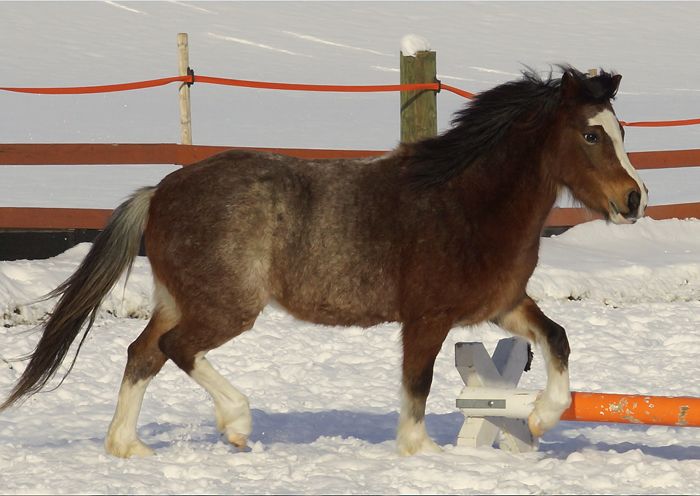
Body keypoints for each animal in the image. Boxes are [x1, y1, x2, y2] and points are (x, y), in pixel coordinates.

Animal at [1, 66, 647, 458]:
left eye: (620, 130)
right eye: (592, 135)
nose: (635, 199)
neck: (464, 202)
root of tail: (159, 191)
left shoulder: (503, 304)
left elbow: (557, 338)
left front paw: (539, 418)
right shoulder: (427, 317)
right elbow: (417, 383)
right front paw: (421, 450)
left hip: (180, 299)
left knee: (142, 353)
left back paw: (127, 446)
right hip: (226, 306)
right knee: (173, 348)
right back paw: (236, 425)